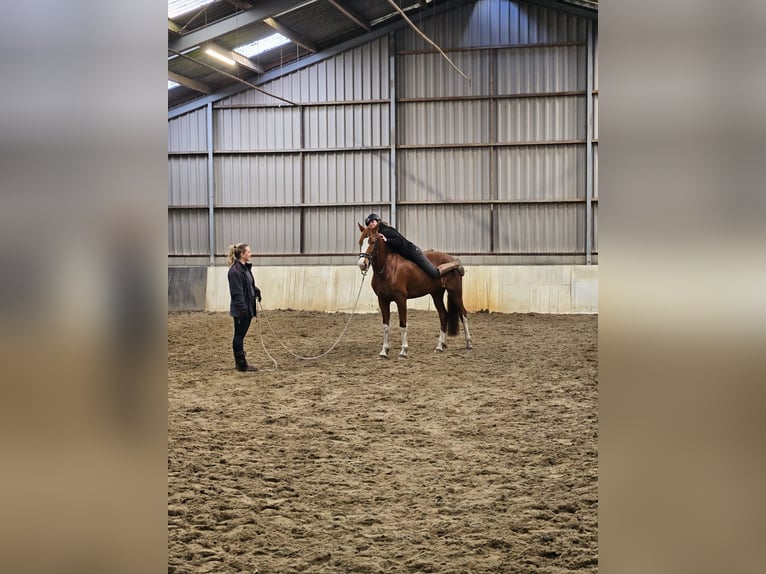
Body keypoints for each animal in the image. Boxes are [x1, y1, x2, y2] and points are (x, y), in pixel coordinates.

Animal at [357, 223, 473, 358]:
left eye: (372, 241)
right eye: (360, 242)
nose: (362, 264)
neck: (387, 269)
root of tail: (451, 258)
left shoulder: (401, 299)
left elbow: (403, 325)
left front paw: (403, 351)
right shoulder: (382, 300)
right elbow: (386, 326)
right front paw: (384, 351)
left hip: (455, 292)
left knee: (463, 314)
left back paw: (469, 343)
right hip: (436, 294)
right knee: (443, 315)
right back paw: (439, 346)